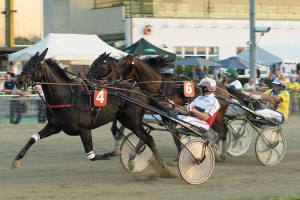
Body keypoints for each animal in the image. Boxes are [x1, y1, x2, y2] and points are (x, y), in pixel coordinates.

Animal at [11, 48, 171, 175]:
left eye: (34, 65)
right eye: (25, 63)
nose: (18, 82)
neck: (66, 96)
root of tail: (140, 91)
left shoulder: (84, 128)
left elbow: (91, 155)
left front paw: (113, 152)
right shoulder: (54, 126)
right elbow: (33, 138)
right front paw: (16, 159)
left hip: (134, 121)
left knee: (148, 139)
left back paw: (164, 167)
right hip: (126, 120)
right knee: (144, 138)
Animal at [105, 54, 262, 162]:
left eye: (124, 64)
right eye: (117, 63)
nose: (109, 78)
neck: (160, 87)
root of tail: (223, 88)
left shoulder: (168, 114)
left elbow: (174, 135)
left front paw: (180, 155)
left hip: (216, 116)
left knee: (223, 131)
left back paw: (218, 152)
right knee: (223, 132)